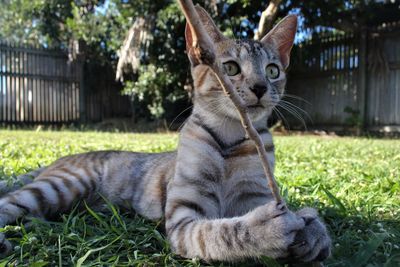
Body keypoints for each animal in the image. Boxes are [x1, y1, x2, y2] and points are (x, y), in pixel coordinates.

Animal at [0, 5, 332, 264]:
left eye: (273, 70)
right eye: (231, 68)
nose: (260, 87)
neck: (231, 140)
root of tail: (60, 160)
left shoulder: (257, 193)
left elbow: (305, 217)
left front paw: (314, 232)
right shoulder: (185, 215)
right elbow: (219, 232)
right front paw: (266, 229)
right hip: (62, 185)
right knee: (8, 202)